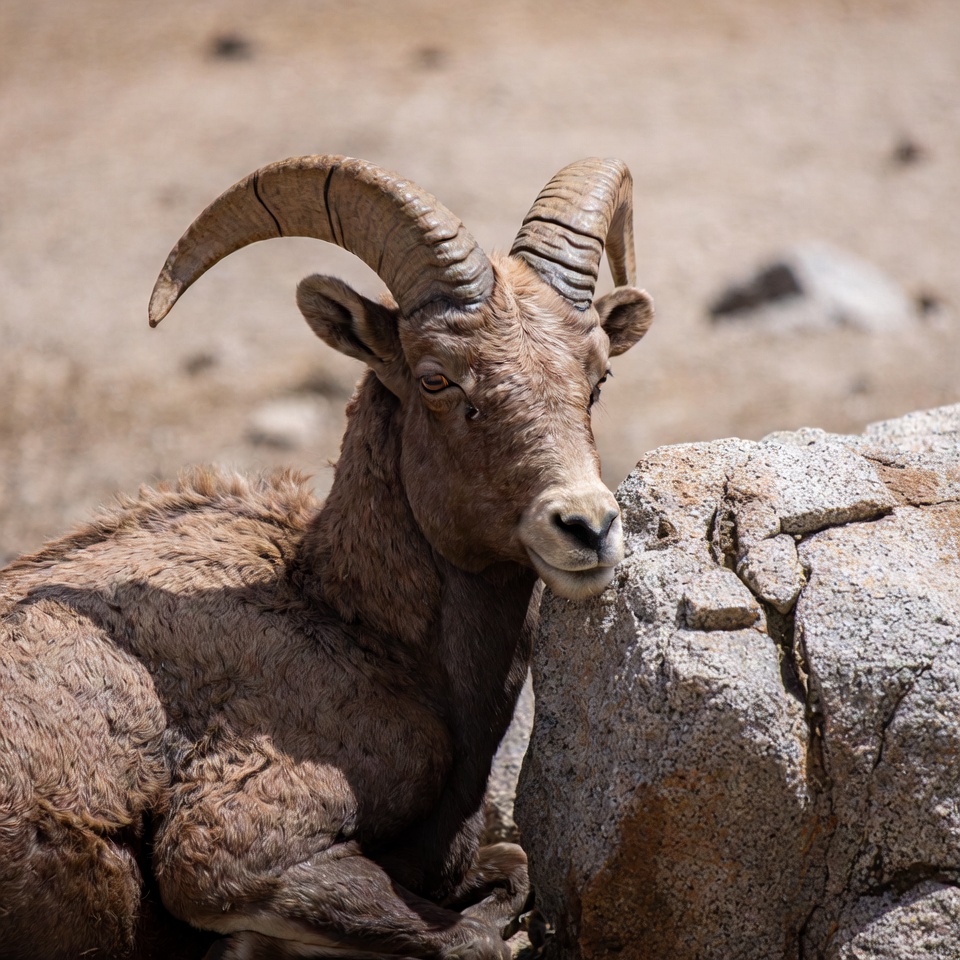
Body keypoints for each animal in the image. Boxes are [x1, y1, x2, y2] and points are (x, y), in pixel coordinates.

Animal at [0, 155, 654, 960]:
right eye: (436, 378)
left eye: (598, 376)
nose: (587, 527)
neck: (348, 621)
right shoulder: (230, 855)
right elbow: (477, 931)